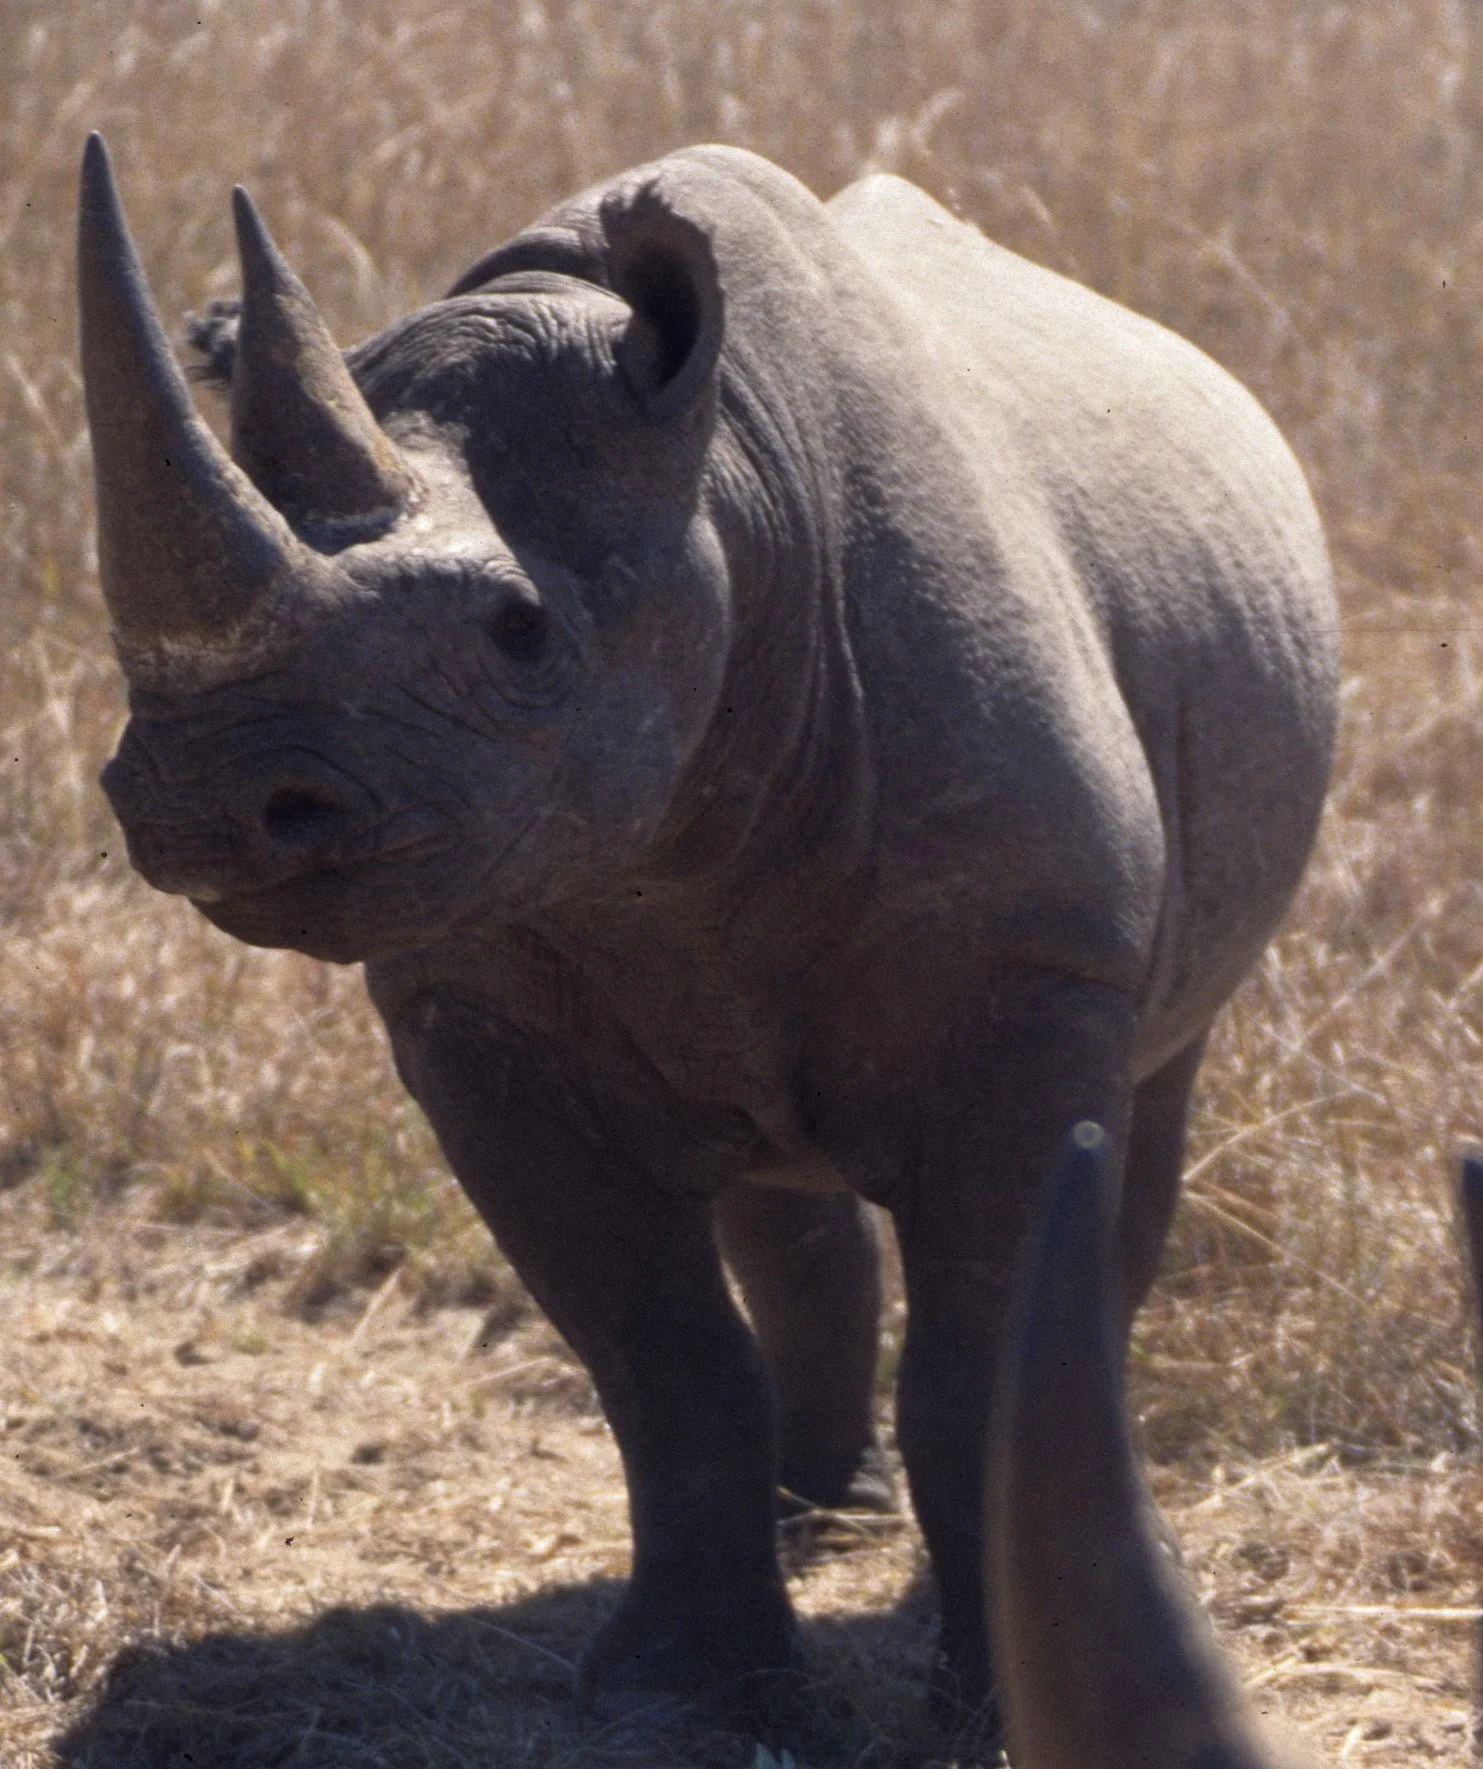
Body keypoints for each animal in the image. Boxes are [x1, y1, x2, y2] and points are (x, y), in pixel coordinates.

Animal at [77, 132, 1338, 1731]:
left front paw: (990, 1702)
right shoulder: (472, 1006)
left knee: (1155, 1088)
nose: (205, 795)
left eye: (519, 635)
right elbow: (658, 1360)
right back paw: (819, 1507)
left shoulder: (1033, 965)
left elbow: (978, 1350)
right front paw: (680, 1690)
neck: (726, 498)